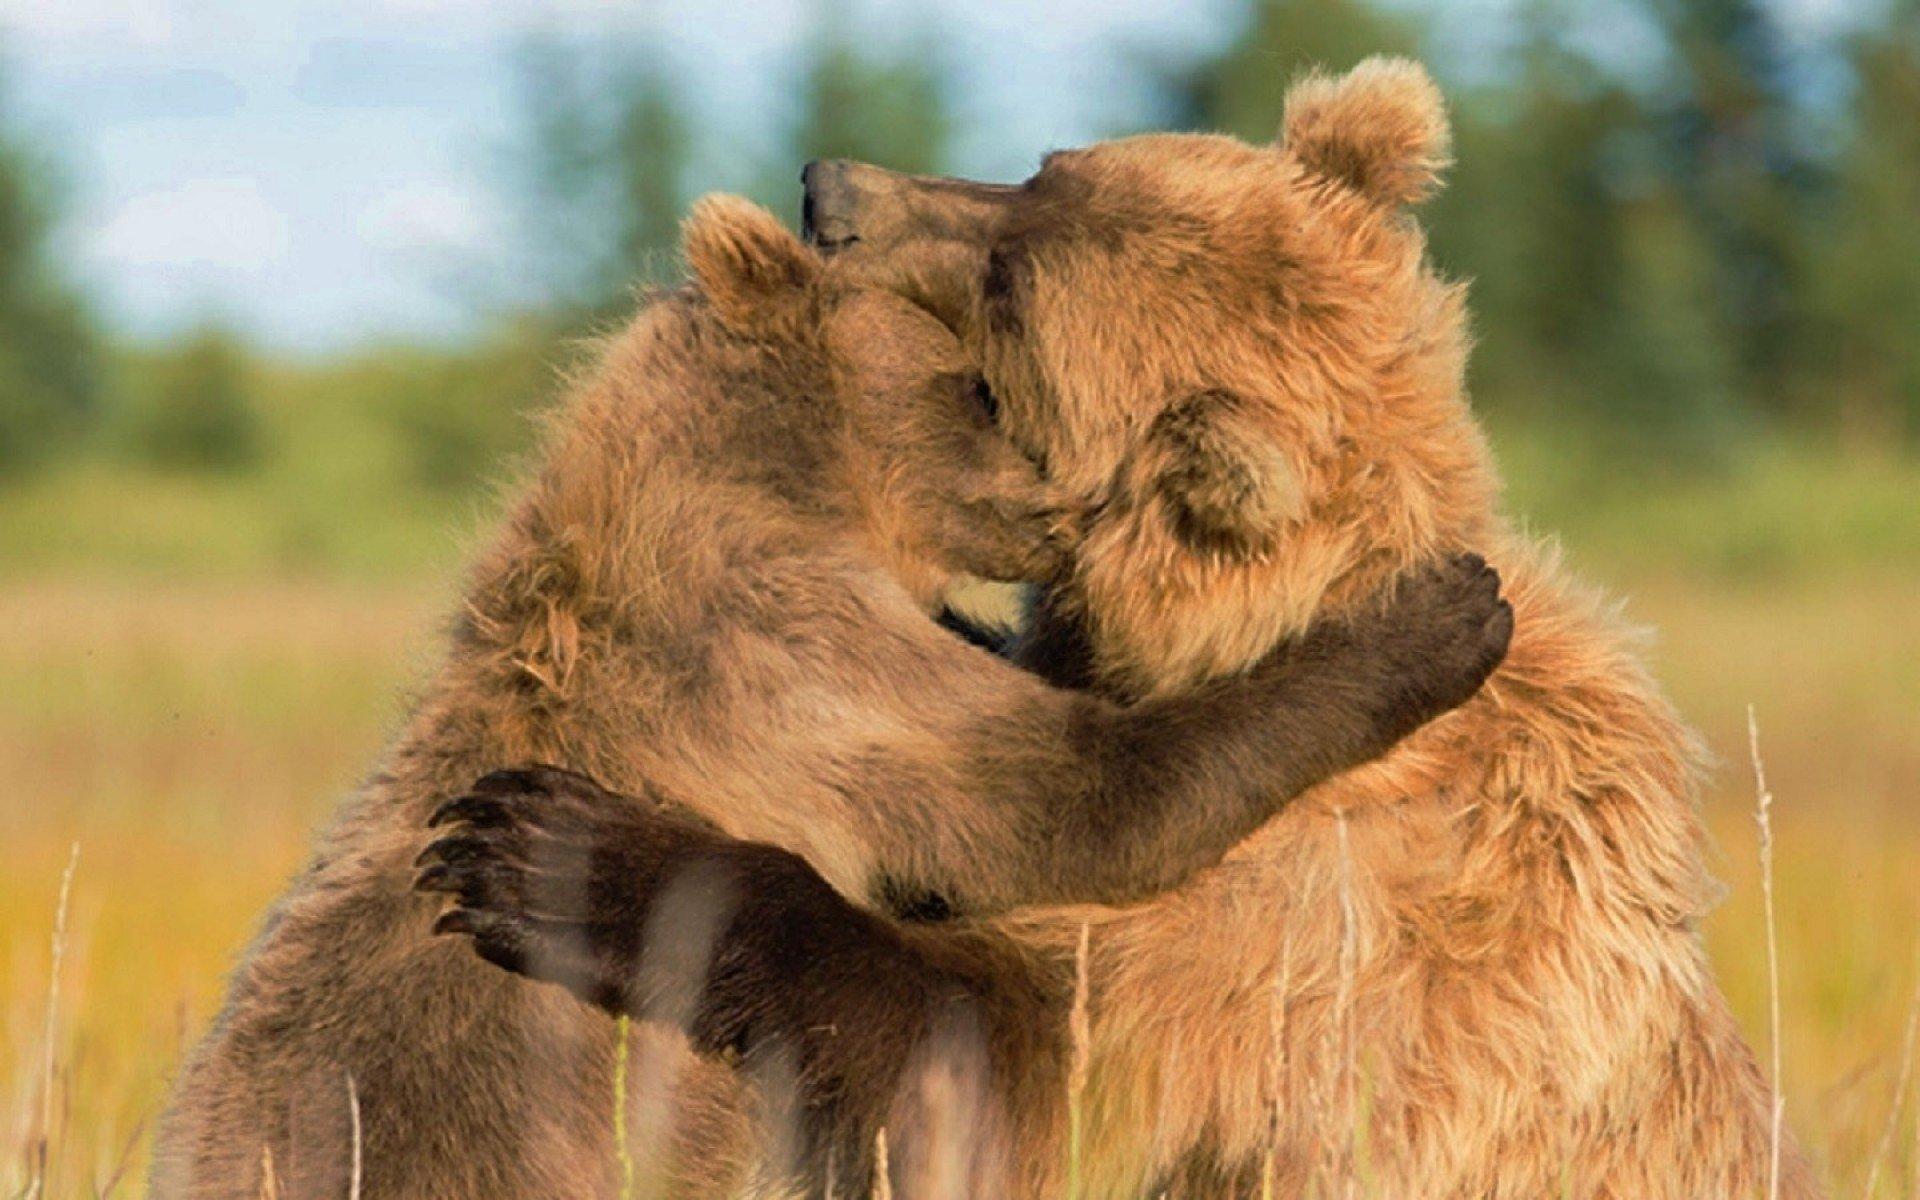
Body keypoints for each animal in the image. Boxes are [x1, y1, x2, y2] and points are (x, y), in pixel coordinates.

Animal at [149, 189, 1513, 1198]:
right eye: (980, 385)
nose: (1074, 499)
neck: (801, 481)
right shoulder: (790, 661)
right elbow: (1084, 799)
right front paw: (1438, 615)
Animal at [428, 58, 1821, 1199]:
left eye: (1011, 292)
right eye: (1043, 168)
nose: (828, 187)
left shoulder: (1321, 937)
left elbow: (1025, 1063)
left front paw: (566, 853)